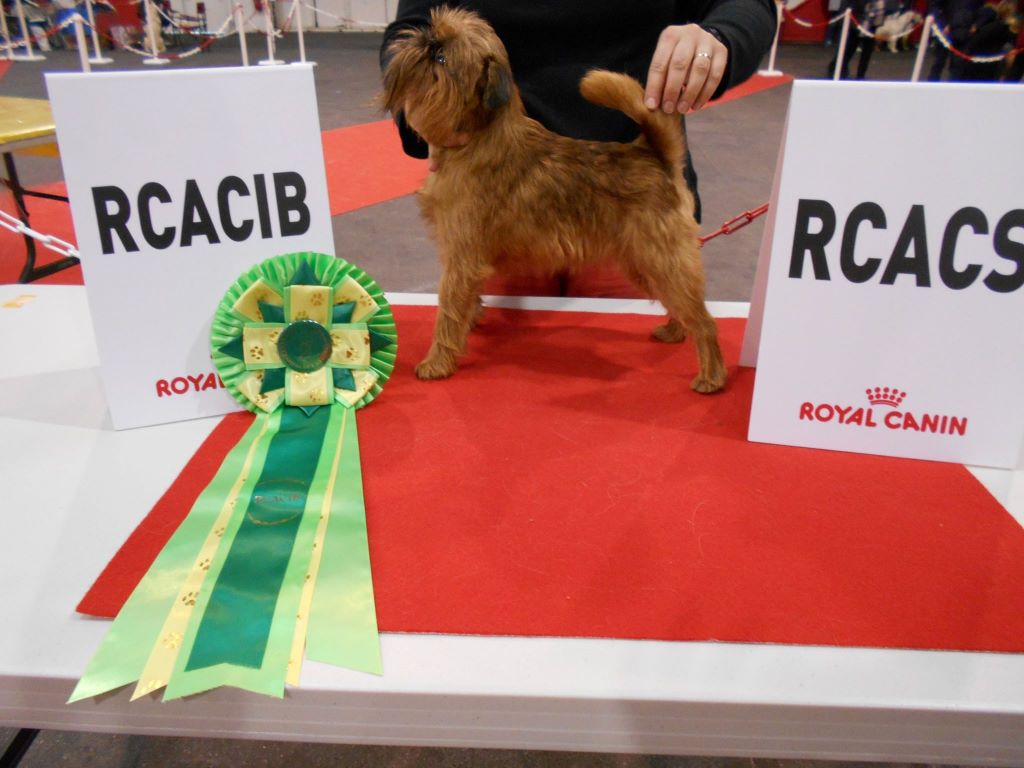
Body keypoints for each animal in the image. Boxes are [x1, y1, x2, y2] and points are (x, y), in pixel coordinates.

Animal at [381, 7, 726, 394]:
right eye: (431, 33)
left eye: (440, 58)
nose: (425, 40)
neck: (479, 137)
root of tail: (654, 154)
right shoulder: (466, 259)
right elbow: (464, 301)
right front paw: (470, 322)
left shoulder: (461, 257)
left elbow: (449, 307)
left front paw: (438, 362)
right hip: (644, 262)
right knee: (682, 307)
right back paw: (673, 330)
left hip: (661, 257)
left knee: (705, 320)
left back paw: (711, 376)